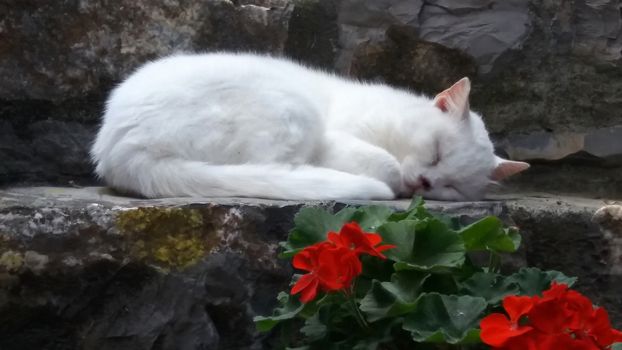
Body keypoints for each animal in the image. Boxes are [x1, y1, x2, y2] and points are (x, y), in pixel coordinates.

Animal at [91, 51, 532, 200]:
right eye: (436, 152)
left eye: (452, 186)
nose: (425, 183)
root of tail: (117, 149)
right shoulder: (335, 137)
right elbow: (387, 164)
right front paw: (392, 178)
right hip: (291, 108)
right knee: (272, 170)